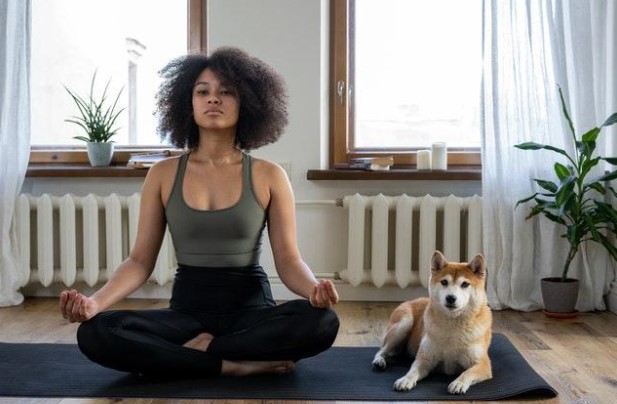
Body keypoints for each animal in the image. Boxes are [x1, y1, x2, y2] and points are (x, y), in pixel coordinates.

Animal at [370, 249, 490, 394]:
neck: (452, 325)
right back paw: (379, 361)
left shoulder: (483, 365)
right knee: (381, 350)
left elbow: (467, 373)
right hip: (403, 324)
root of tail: (411, 300)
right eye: (444, 282)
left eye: (465, 284)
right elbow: (412, 371)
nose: (450, 298)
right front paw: (405, 380)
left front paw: (458, 383)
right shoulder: (424, 359)